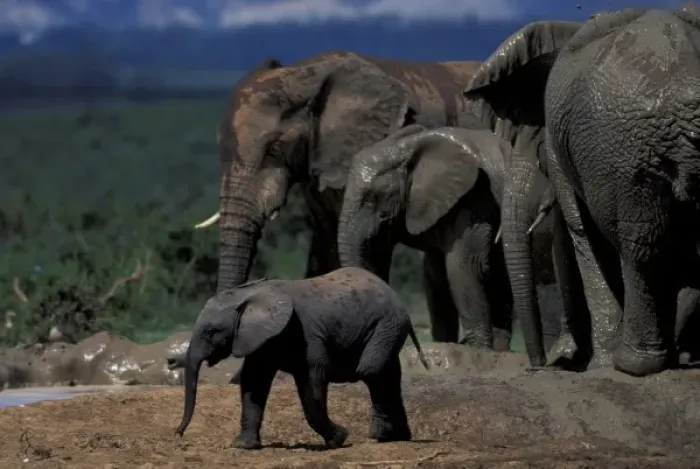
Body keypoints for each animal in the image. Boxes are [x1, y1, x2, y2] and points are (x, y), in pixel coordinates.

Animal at [173, 267, 429, 450]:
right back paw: (398, 436)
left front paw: (339, 439)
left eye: (211, 331)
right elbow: (254, 383)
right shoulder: (262, 338)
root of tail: (395, 295)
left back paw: (381, 435)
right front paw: (243, 445)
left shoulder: (305, 334)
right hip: (388, 329)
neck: (249, 293)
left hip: (386, 326)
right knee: (389, 374)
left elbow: (312, 381)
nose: (178, 434)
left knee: (371, 370)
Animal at [337, 124, 559, 351]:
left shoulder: (474, 198)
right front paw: (448, 345)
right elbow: (434, 273)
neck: (408, 146)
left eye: (374, 197)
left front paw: (479, 351)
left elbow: (463, 267)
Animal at [463, 6, 700, 376]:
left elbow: (579, 230)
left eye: (538, 146)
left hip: (623, 148)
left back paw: (632, 364)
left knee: (640, 245)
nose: (538, 367)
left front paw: (598, 364)